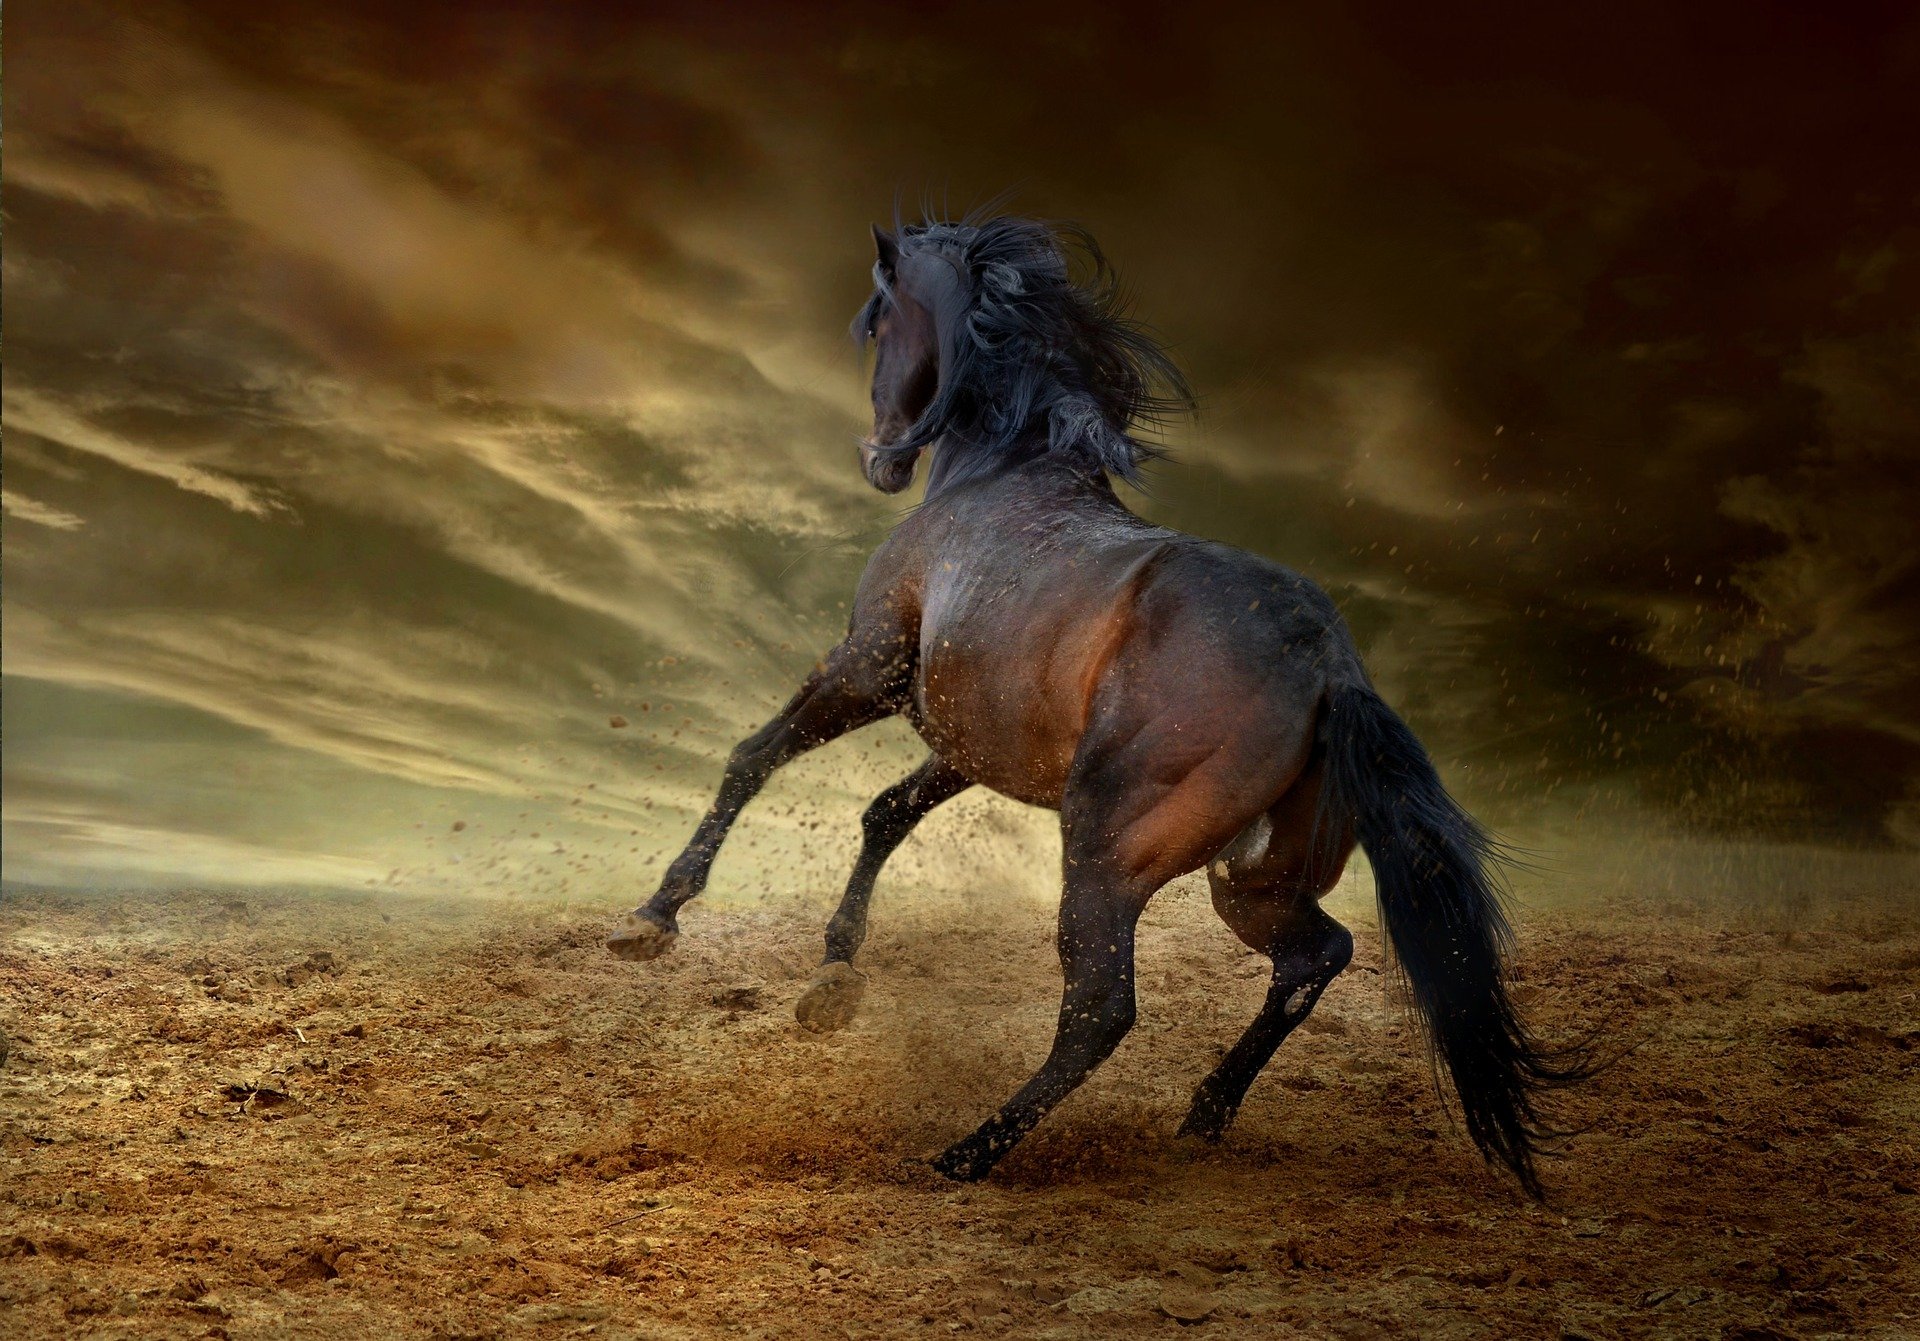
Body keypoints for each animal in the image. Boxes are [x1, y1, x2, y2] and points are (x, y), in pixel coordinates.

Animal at [608, 213, 1583, 1195]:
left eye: (879, 321)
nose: (880, 456)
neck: (1001, 472)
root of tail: (1330, 667)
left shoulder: (869, 664)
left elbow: (755, 756)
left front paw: (655, 918)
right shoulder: (971, 744)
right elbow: (885, 812)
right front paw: (833, 977)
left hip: (1107, 853)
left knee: (1103, 1008)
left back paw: (964, 1154)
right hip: (1250, 880)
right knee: (1316, 957)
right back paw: (1202, 1114)